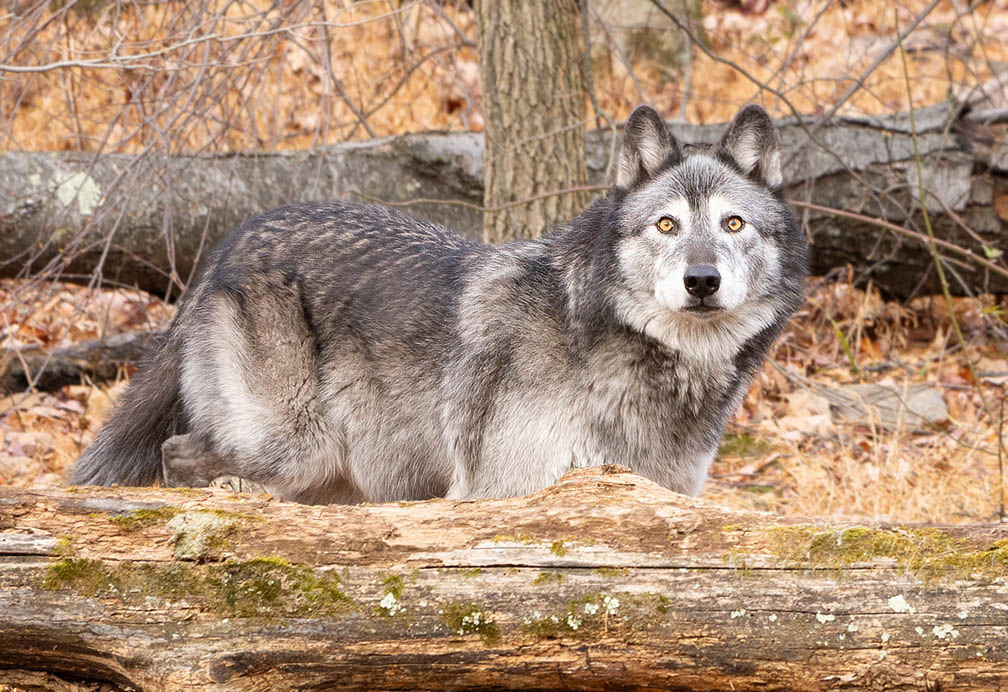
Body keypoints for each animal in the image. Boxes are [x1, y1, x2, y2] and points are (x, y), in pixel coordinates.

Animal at [71, 104, 806, 503]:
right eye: (667, 226)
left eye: (733, 224)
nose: (702, 281)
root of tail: (228, 245)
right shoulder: (502, 493)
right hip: (294, 446)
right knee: (176, 455)